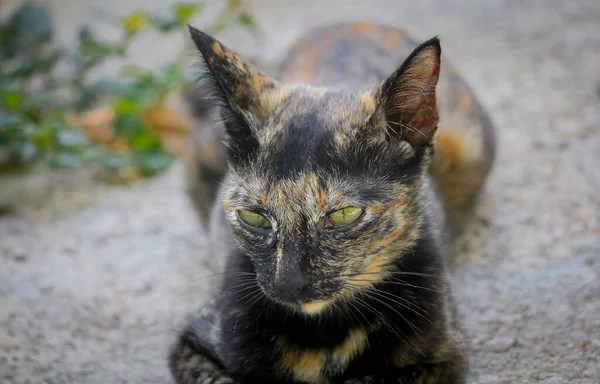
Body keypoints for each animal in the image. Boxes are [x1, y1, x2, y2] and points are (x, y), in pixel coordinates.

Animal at [170, 21, 496, 384]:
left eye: (344, 215)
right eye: (253, 218)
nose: (288, 284)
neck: (323, 332)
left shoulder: (447, 357)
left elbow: (379, 377)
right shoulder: (190, 341)